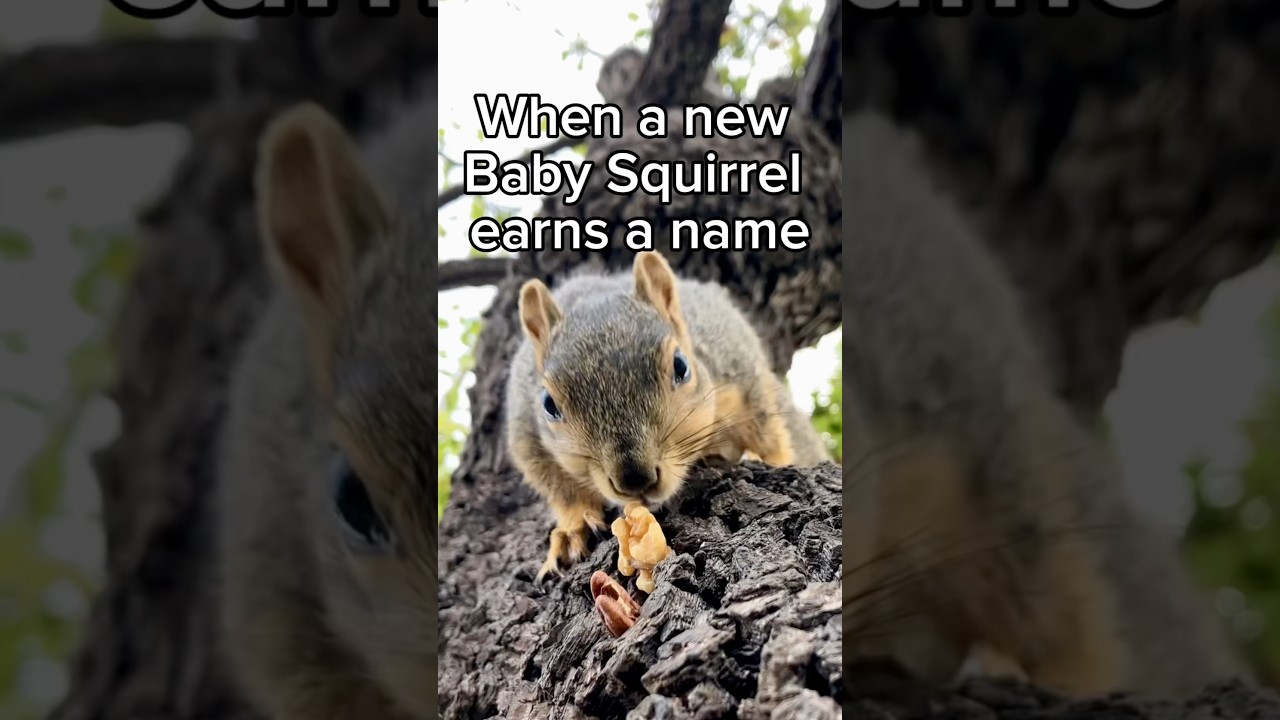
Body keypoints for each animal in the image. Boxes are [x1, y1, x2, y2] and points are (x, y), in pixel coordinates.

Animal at [506, 252, 831, 581]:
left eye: (681, 365)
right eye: (548, 404)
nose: (635, 480)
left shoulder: (743, 379)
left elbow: (771, 437)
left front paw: (763, 458)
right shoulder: (528, 439)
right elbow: (562, 492)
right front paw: (573, 529)